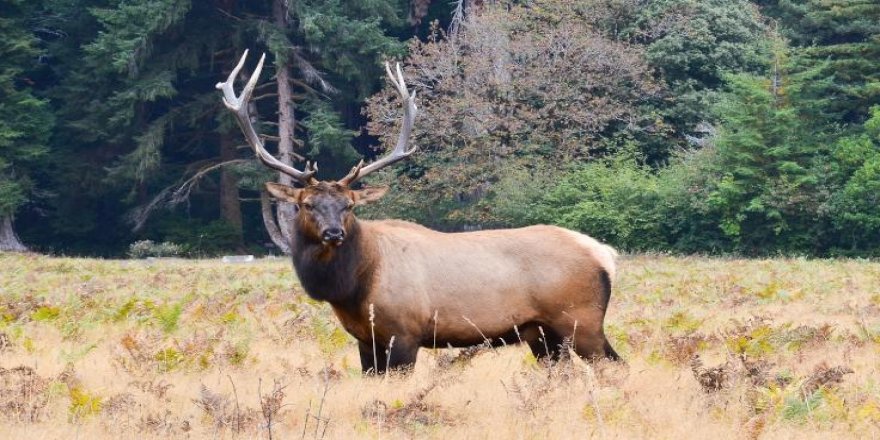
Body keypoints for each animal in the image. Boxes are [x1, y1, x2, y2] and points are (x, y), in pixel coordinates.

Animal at [217, 51, 624, 374]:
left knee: (614, 365)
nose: (334, 233)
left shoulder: (404, 333)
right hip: (541, 333)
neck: (354, 287)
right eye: (306, 204)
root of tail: (605, 254)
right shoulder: (365, 340)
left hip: (581, 319)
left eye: (349, 206)